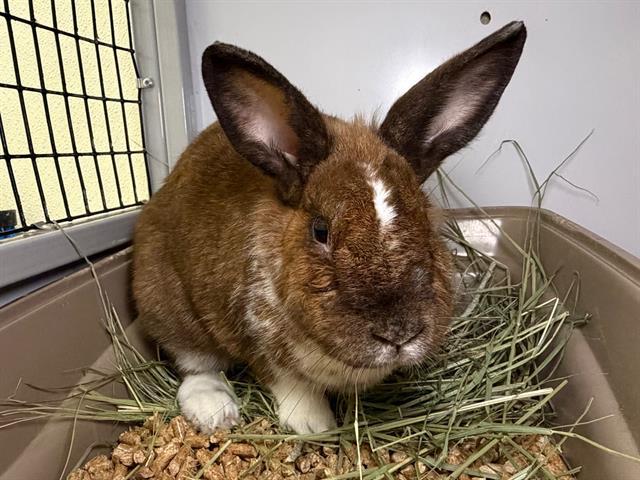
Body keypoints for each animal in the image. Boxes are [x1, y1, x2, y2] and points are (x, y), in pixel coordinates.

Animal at [132, 21, 526, 434]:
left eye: (425, 217)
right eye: (320, 231)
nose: (399, 334)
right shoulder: (258, 342)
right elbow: (290, 385)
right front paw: (315, 426)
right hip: (168, 308)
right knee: (193, 366)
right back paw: (215, 411)